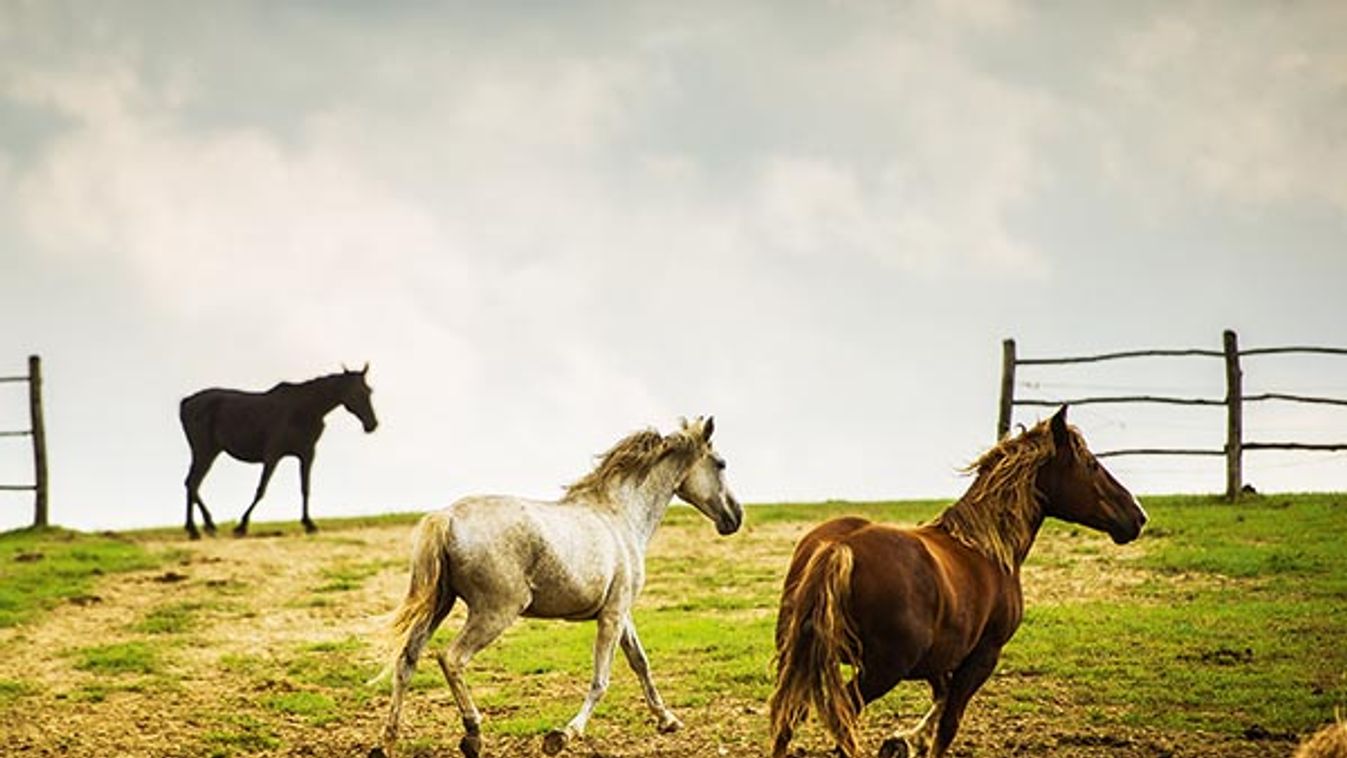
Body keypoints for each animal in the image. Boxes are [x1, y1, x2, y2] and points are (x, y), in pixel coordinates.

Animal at [179, 366, 379, 538]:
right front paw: (241, 526)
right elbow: (261, 489)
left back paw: (197, 528)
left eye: (369, 391)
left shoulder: (307, 455)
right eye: (356, 392)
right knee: (193, 483)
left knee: (192, 484)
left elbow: (305, 488)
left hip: (208, 452)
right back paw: (202, 527)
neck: (305, 409)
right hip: (205, 452)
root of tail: (186, 402)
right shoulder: (272, 455)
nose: (372, 424)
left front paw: (309, 524)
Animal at [374, 417, 743, 753]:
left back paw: (386, 742)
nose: (736, 517)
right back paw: (473, 735)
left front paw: (668, 720)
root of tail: (447, 516)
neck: (621, 517)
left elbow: (640, 661)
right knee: (451, 658)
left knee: (407, 659)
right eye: (721, 463)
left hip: (441, 604)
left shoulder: (621, 612)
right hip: (495, 612)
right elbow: (601, 680)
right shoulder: (612, 615)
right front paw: (563, 735)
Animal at [775, 409, 1142, 758]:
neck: (987, 549)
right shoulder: (983, 656)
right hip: (881, 669)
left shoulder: (938, 658)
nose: (1137, 517)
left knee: (787, 720)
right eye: (1092, 464)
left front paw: (904, 742)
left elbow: (941, 698)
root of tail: (840, 547)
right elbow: (949, 722)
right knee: (845, 715)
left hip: (801, 659)